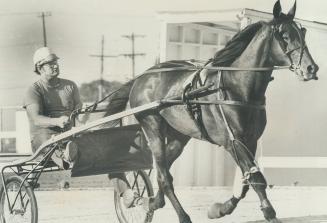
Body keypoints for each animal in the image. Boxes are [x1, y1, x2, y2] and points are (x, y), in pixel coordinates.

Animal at [106, 0, 320, 222]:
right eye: (283, 35)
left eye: (302, 32)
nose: (311, 68)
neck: (237, 87)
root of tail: (142, 77)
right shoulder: (233, 142)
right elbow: (256, 178)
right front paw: (269, 213)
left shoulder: (250, 140)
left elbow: (246, 182)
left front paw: (221, 208)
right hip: (152, 125)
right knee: (164, 175)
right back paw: (179, 215)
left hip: (179, 134)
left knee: (163, 170)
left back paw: (151, 201)